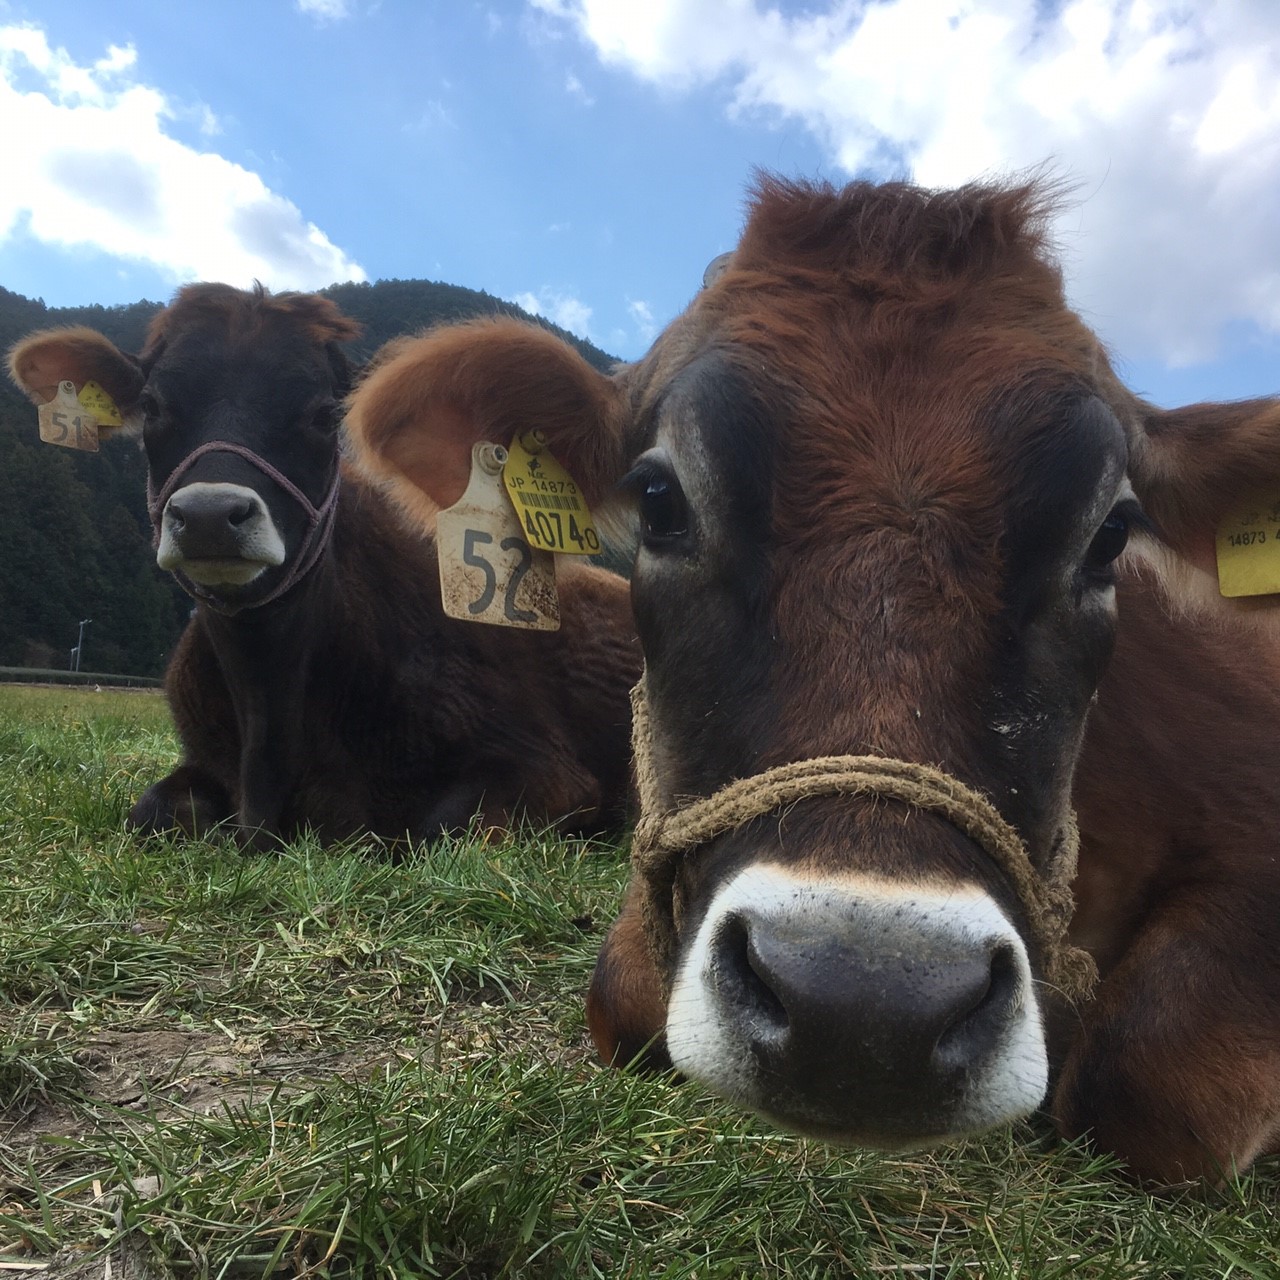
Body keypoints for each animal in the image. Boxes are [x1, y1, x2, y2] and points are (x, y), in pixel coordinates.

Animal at [10, 290, 640, 849]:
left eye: (321, 415)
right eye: (155, 408)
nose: (210, 514)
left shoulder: (551, 770)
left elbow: (439, 826)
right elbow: (149, 810)